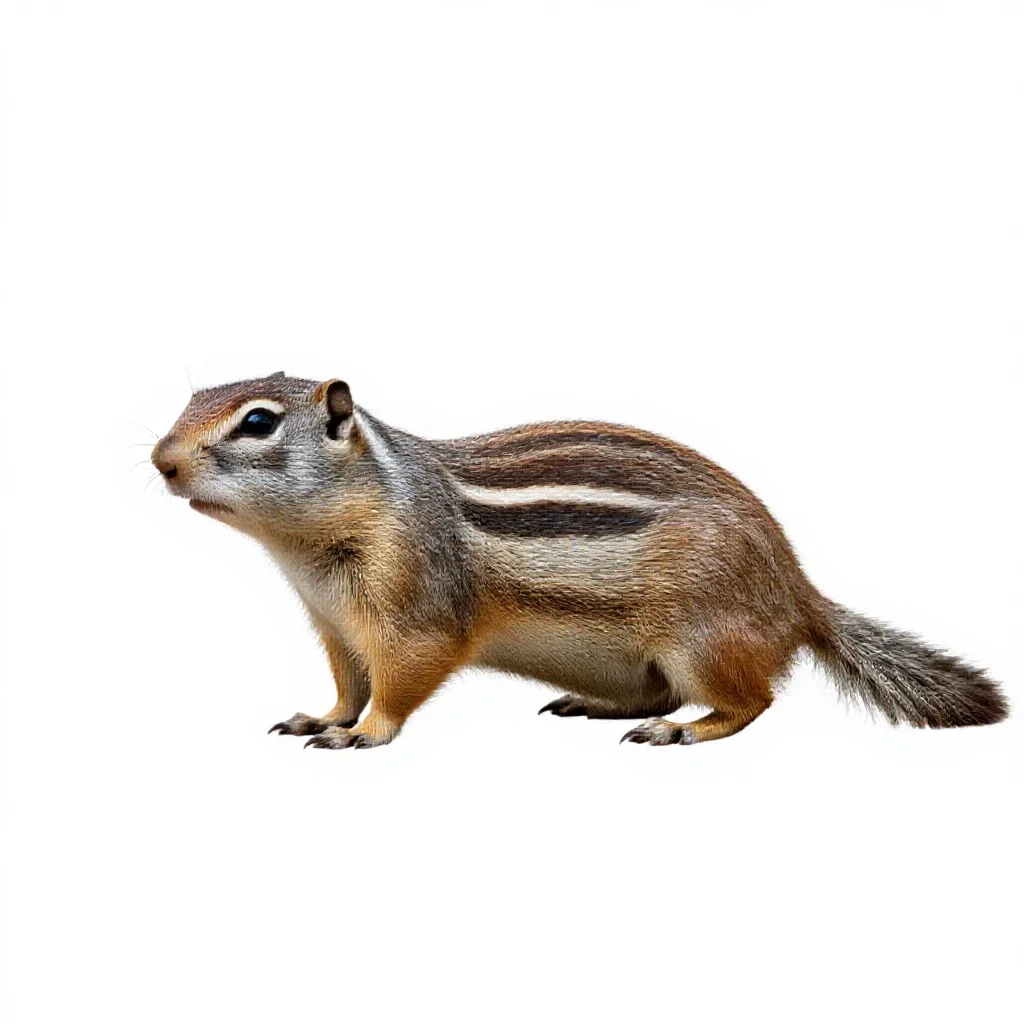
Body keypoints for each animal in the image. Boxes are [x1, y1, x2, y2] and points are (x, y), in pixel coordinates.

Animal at [152, 371, 1008, 749]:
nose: (162, 461)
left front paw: (364, 733)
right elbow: (347, 682)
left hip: (700, 636)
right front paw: (323, 716)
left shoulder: (416, 609)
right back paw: (600, 707)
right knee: (662, 691)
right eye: (189, 399)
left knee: (750, 701)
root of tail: (799, 593)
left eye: (258, 423)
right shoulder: (335, 626)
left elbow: (400, 680)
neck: (308, 553)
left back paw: (684, 732)